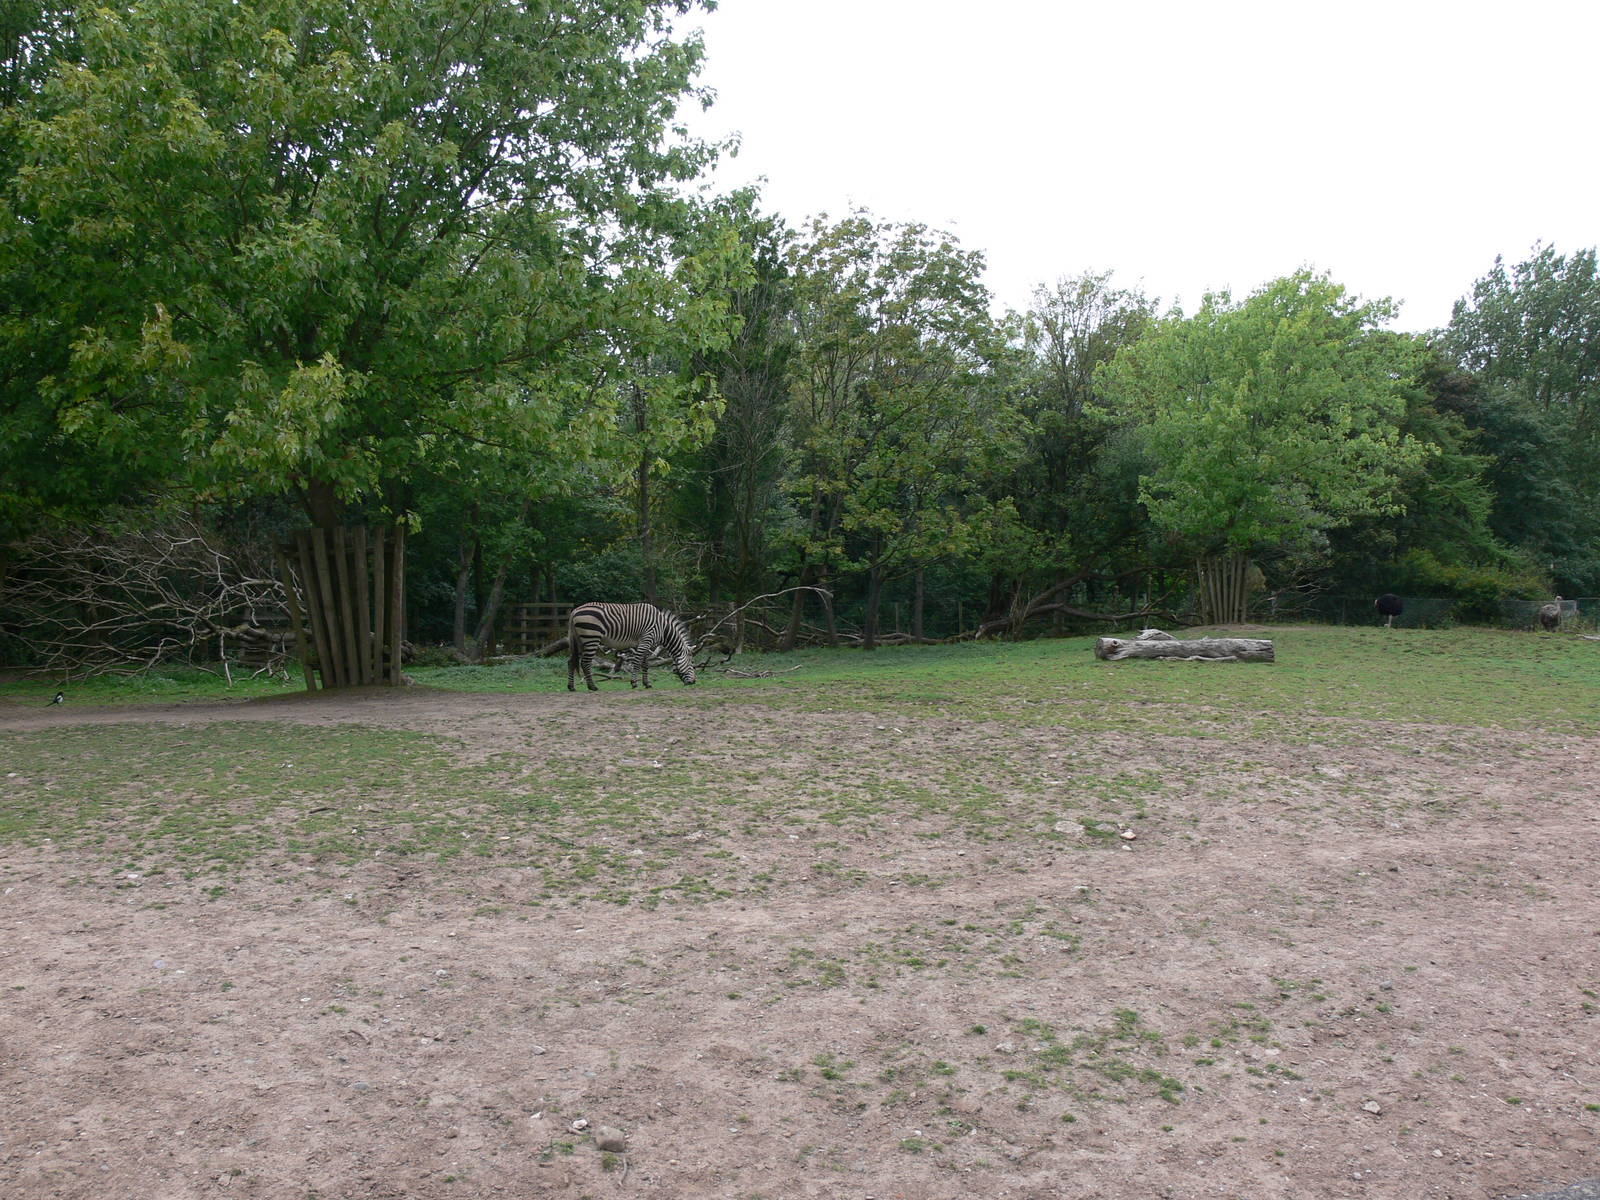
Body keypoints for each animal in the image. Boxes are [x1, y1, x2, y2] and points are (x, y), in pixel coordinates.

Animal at [567, 602, 697, 692]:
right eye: (692, 663)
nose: (694, 682)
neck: (663, 628)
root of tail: (574, 611)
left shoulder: (646, 645)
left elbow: (645, 664)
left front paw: (647, 684)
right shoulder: (645, 641)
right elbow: (637, 662)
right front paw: (634, 683)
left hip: (580, 641)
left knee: (571, 661)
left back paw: (571, 687)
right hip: (591, 638)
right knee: (585, 662)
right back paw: (592, 686)